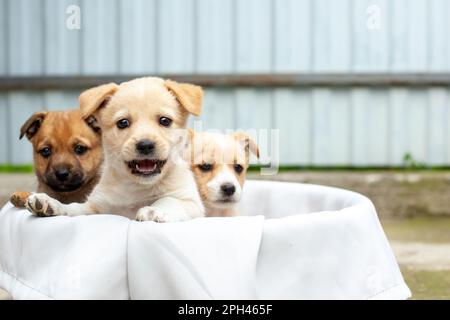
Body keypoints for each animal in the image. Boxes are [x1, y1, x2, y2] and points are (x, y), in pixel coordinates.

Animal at [25, 77, 205, 222]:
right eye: (123, 122)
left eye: (165, 121)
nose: (145, 145)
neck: (137, 187)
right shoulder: (96, 207)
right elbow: (75, 207)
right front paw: (51, 204)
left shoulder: (192, 203)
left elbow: (170, 200)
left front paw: (154, 210)